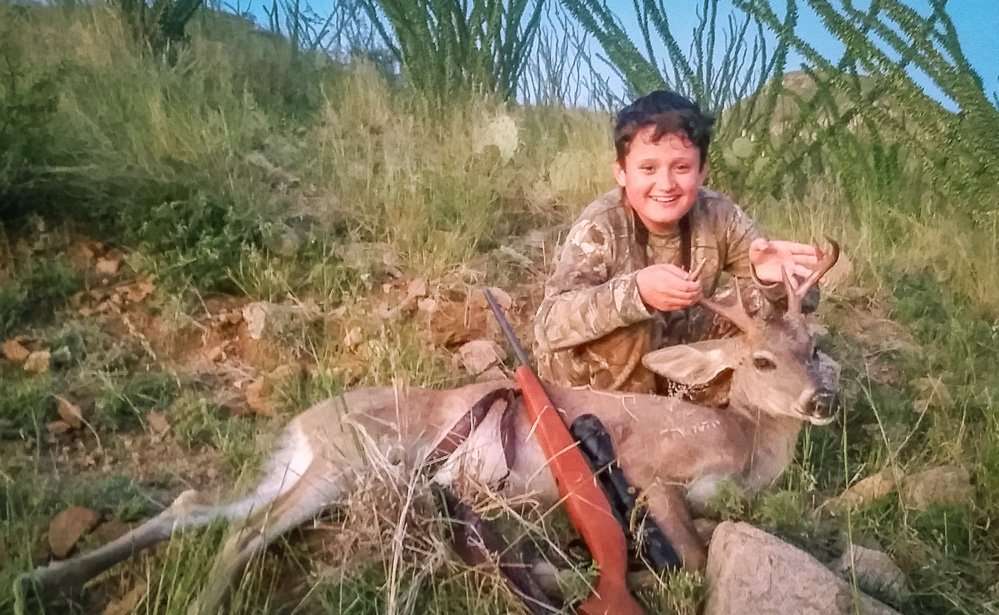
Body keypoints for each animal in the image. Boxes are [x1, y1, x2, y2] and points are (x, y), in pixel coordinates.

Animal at [19, 243, 840, 612]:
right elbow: (693, 559)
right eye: (761, 358)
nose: (820, 402)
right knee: (241, 531)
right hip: (351, 461)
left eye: (813, 348)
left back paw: (42, 577)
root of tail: (304, 419)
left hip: (301, 466)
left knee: (194, 507)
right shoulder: (651, 474)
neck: (740, 447)